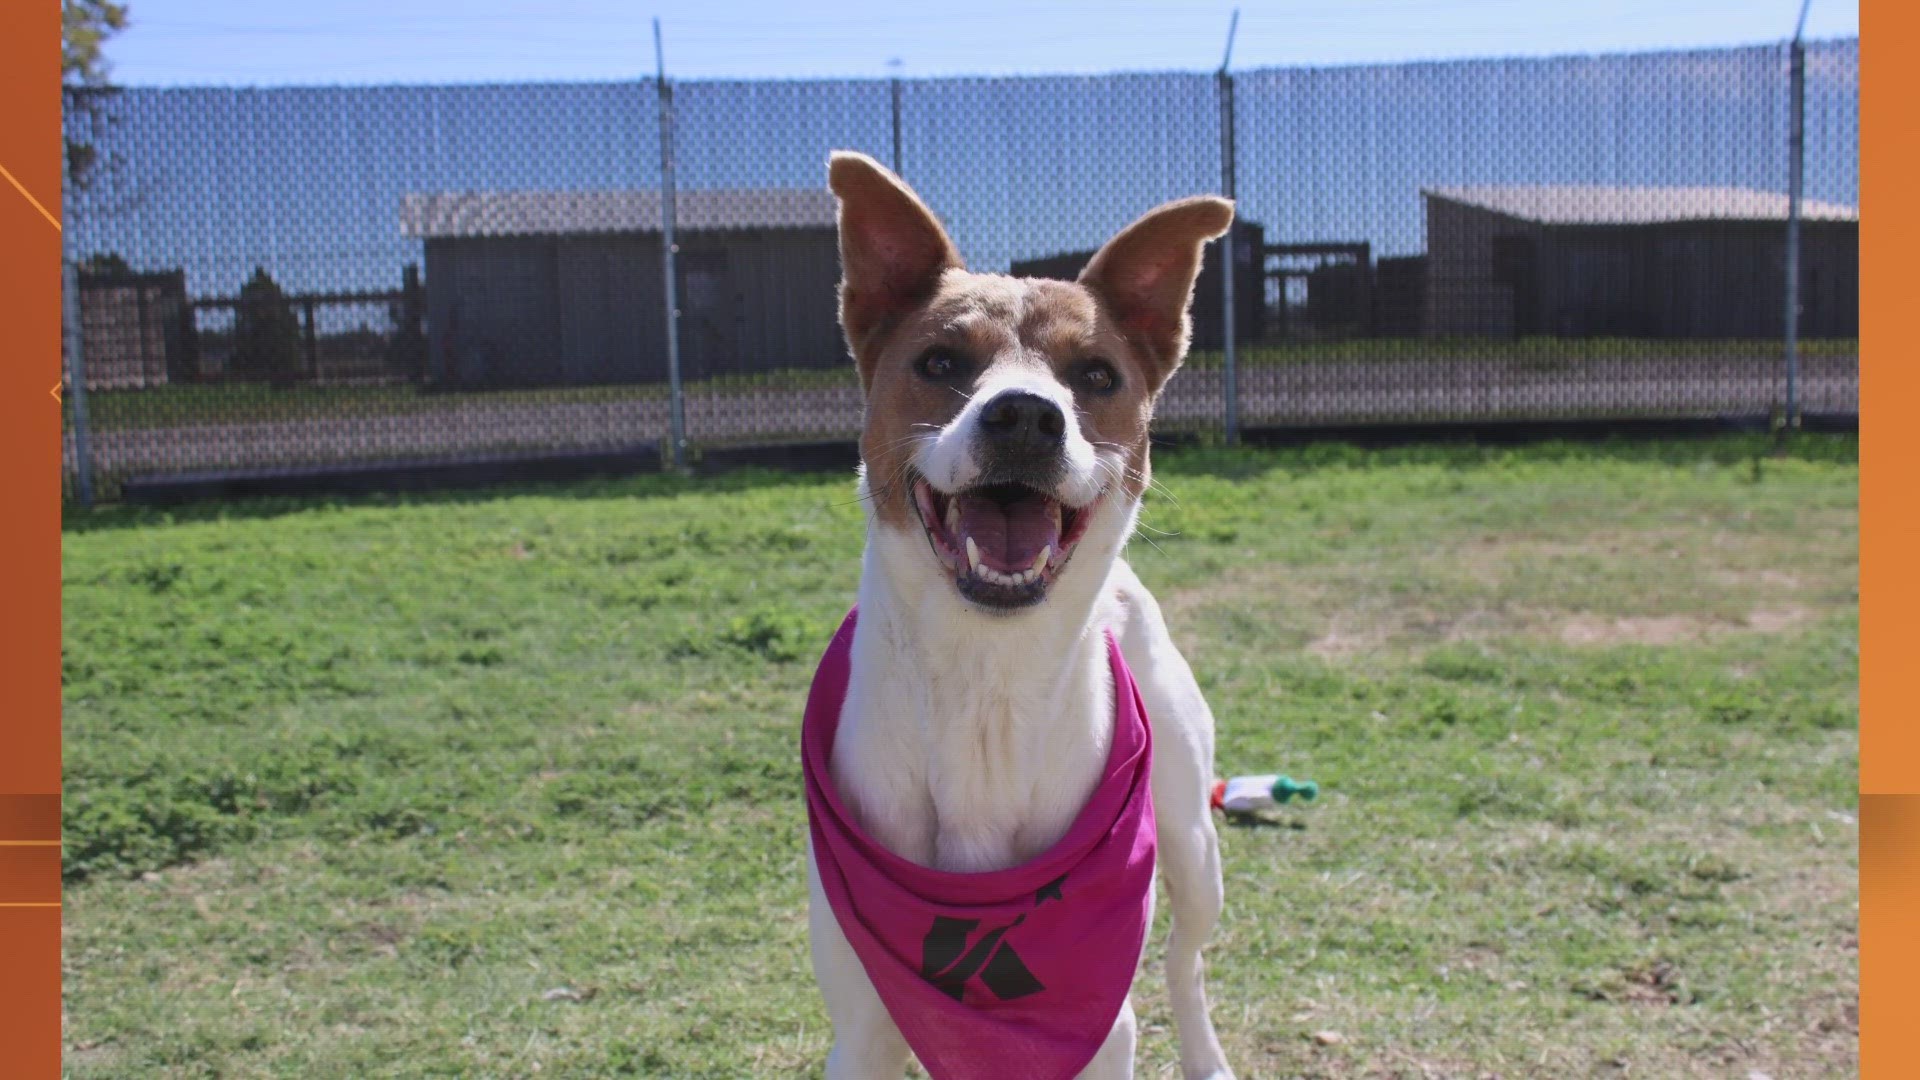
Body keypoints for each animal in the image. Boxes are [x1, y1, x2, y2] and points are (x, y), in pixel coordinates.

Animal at [806, 153, 1228, 1076]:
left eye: (1097, 376)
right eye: (940, 361)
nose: (1028, 417)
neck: (983, 687)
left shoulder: (1102, 1027)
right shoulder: (859, 1030)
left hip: (1190, 839)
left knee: (1187, 962)